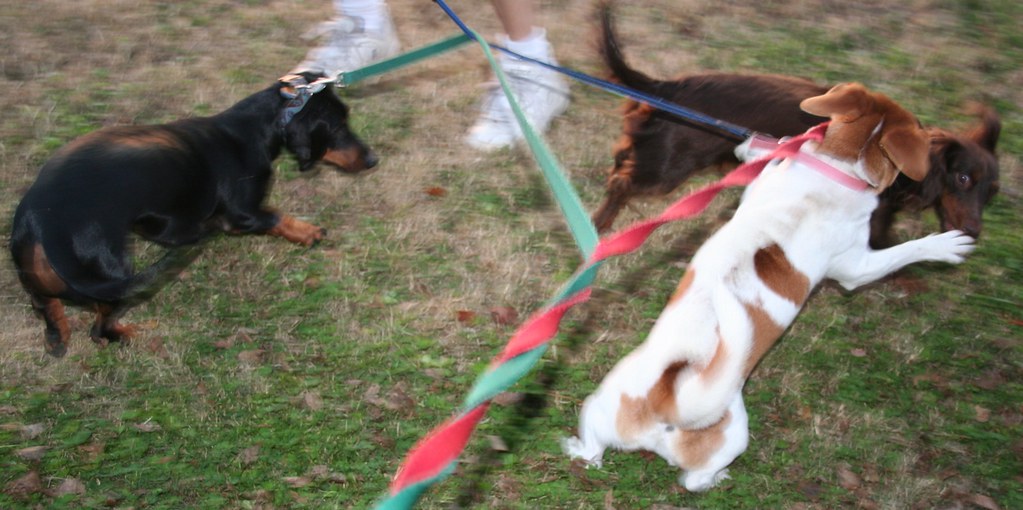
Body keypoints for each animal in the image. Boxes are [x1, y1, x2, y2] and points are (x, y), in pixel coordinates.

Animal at [564, 82, 977, 490]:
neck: (837, 168)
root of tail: (670, 403)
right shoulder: (856, 268)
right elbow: (903, 252)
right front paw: (944, 245)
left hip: (599, 405)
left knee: (595, 454)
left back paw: (577, 448)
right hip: (733, 436)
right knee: (694, 481)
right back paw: (719, 477)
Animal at [593, 1, 998, 249]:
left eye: (991, 192)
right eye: (963, 179)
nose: (974, 233)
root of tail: (667, 86)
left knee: (620, 163)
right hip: (667, 168)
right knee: (622, 181)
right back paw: (599, 224)